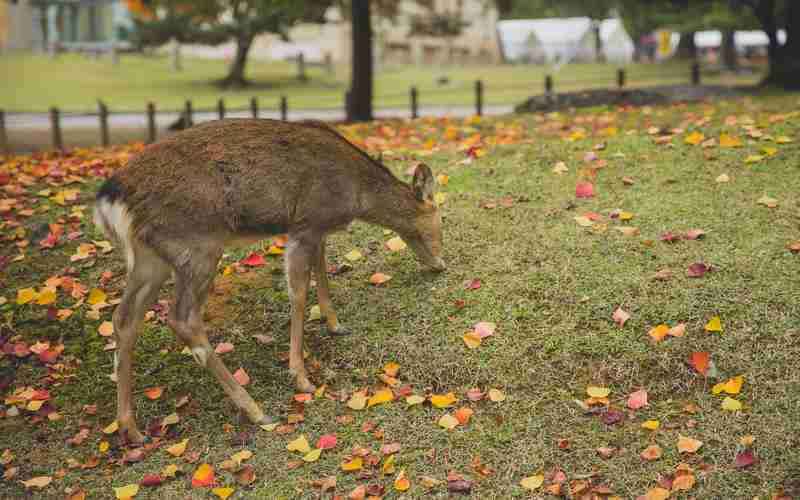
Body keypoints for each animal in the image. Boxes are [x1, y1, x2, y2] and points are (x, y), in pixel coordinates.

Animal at [94, 119, 446, 444]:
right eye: (439, 219)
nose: (440, 264)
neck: (355, 195)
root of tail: (108, 201)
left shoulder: (316, 229)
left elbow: (322, 269)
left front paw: (335, 324)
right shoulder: (306, 222)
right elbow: (299, 292)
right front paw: (301, 377)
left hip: (150, 259)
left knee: (123, 318)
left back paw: (130, 428)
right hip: (197, 246)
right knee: (183, 319)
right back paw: (256, 410)